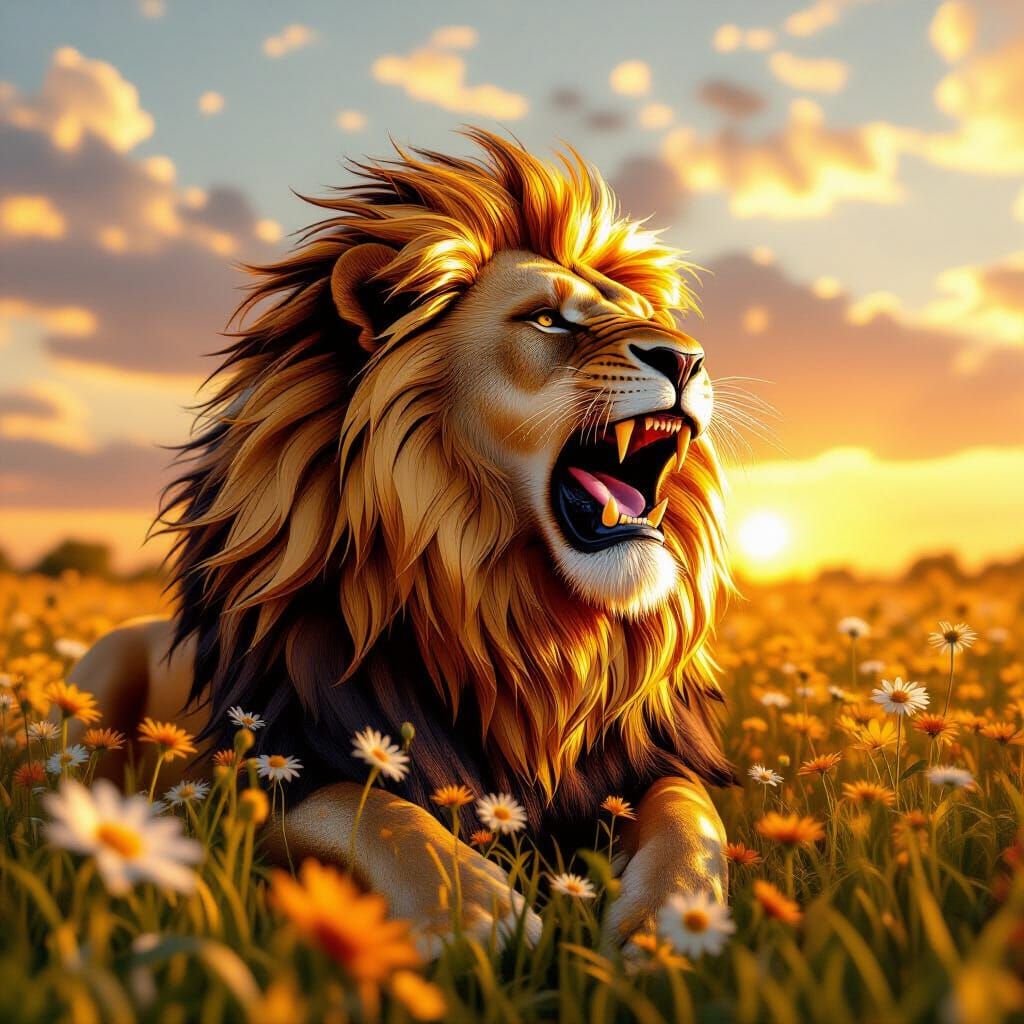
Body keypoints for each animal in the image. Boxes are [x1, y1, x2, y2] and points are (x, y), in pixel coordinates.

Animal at [72, 129, 735, 949]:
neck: (519, 621)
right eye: (548, 321)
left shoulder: (644, 762)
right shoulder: (273, 766)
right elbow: (383, 815)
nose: (686, 357)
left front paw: (673, 923)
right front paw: (476, 913)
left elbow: (690, 819)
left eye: (648, 318)